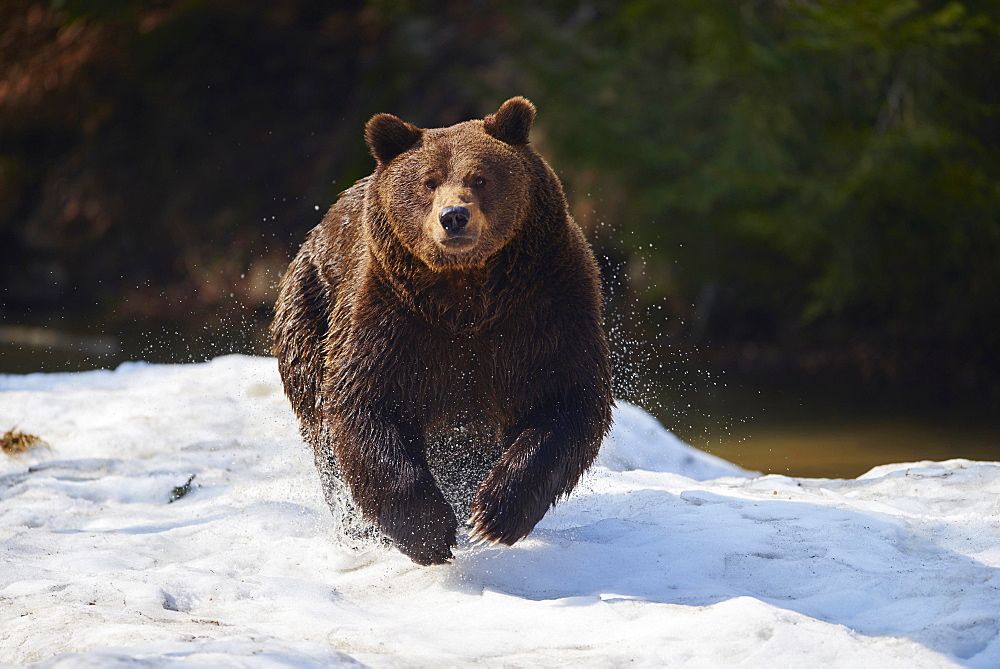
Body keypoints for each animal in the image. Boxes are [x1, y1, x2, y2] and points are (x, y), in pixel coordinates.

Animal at [274, 98, 616, 564]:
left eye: (480, 177)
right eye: (428, 182)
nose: (454, 217)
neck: (466, 298)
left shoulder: (544, 311)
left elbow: (566, 400)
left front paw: (493, 514)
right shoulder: (393, 320)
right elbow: (367, 405)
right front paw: (430, 533)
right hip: (310, 310)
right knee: (322, 429)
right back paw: (359, 527)